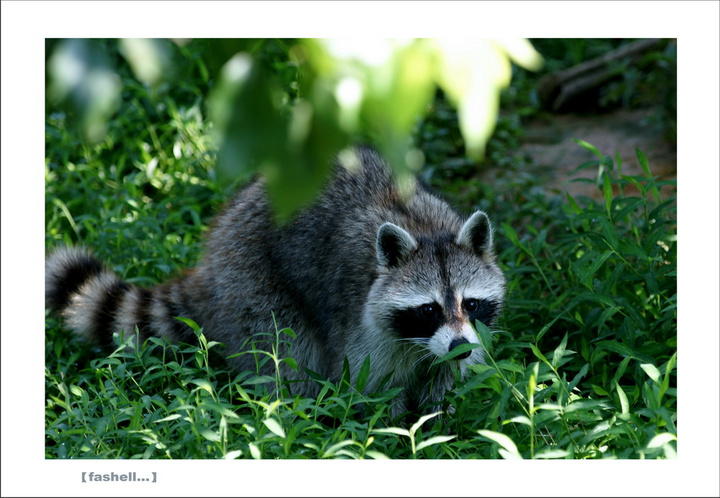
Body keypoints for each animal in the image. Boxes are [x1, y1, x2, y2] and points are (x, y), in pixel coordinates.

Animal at [46, 146, 506, 414]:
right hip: (250, 281)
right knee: (285, 353)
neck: (425, 230)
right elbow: (372, 388)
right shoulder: (362, 326)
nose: (461, 347)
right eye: (428, 309)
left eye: (470, 303)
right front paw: (390, 433)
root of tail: (208, 270)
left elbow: (440, 384)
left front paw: (438, 422)